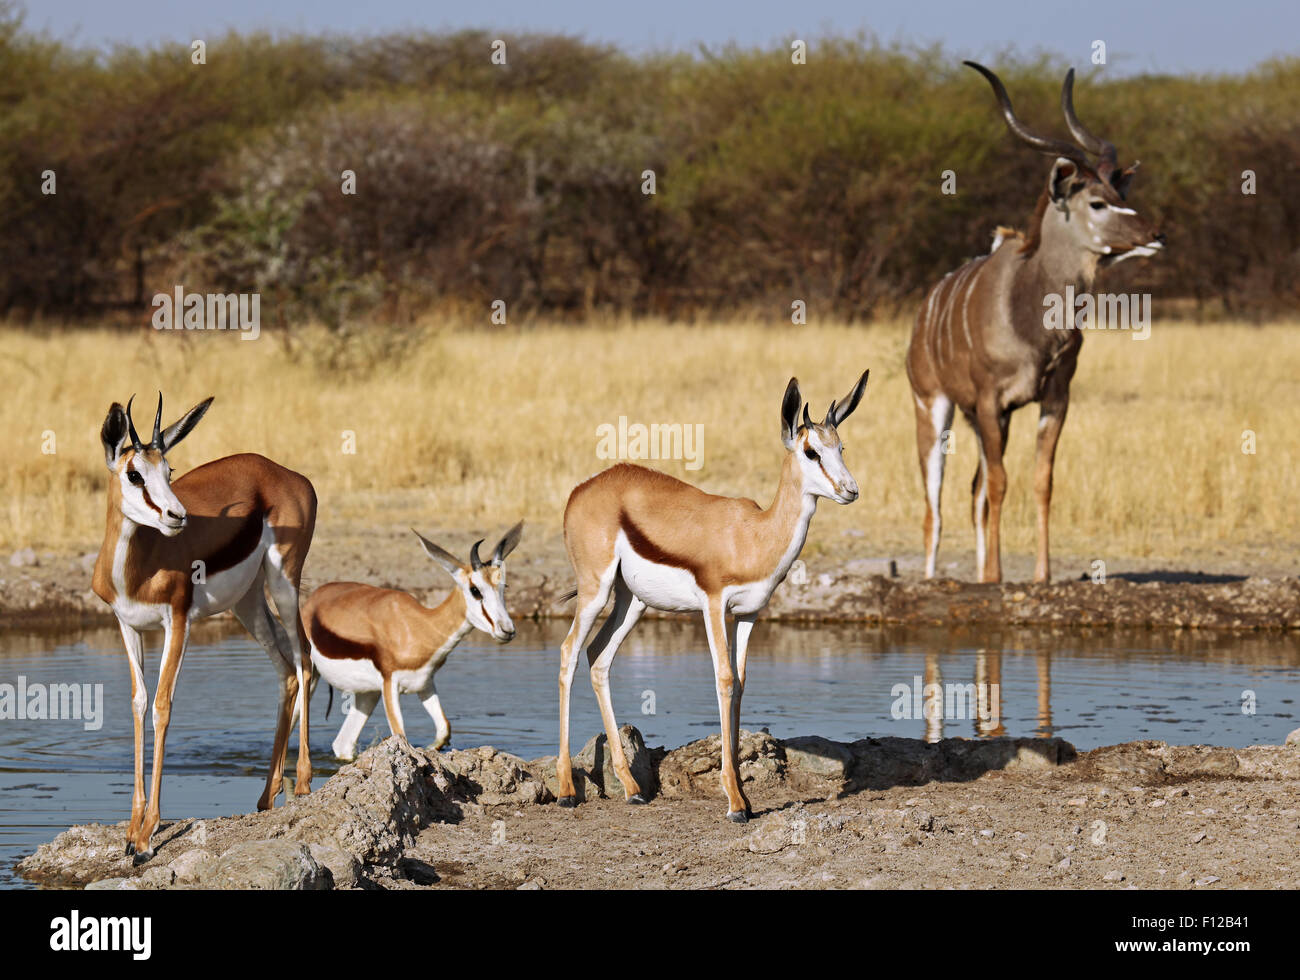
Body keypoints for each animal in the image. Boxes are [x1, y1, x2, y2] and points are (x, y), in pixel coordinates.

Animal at [92, 392, 315, 857]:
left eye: (169, 470)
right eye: (134, 473)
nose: (178, 515)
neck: (138, 565)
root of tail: (285, 473)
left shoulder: (178, 622)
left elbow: (162, 706)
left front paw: (147, 836)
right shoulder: (127, 626)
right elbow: (139, 703)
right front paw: (131, 830)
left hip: (284, 583)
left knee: (304, 657)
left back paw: (302, 783)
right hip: (247, 603)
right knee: (285, 670)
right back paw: (266, 796)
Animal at [302, 519, 522, 753]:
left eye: (503, 586)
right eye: (475, 590)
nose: (507, 629)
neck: (420, 626)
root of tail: (313, 600)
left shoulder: (424, 684)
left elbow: (444, 729)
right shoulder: (390, 684)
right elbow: (401, 734)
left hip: (367, 694)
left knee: (342, 743)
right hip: (309, 679)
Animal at [553, 369, 868, 821]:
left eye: (840, 447)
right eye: (811, 451)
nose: (850, 490)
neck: (754, 535)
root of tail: (582, 490)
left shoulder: (749, 613)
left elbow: (740, 683)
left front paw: (746, 798)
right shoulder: (714, 605)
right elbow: (722, 679)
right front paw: (735, 802)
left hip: (632, 601)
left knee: (598, 657)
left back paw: (632, 788)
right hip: (596, 591)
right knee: (568, 652)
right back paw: (565, 790)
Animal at [904, 66, 1170, 579]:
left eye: (1121, 193)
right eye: (1097, 203)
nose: (1155, 233)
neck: (1032, 318)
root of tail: (923, 316)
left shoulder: (1053, 399)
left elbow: (1039, 480)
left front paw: (1040, 575)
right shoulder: (991, 401)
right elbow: (1001, 484)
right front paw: (995, 578)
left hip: (980, 418)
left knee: (973, 492)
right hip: (934, 406)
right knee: (935, 504)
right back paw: (932, 579)